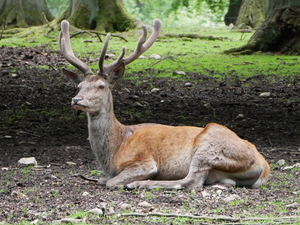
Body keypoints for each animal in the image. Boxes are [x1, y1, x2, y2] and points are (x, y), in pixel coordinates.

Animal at [58, 19, 270, 189]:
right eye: (79, 86)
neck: (114, 151)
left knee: (192, 181)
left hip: (209, 146)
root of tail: (264, 165)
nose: (76, 100)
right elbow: (103, 179)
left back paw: (139, 184)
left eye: (101, 86)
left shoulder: (144, 160)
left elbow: (110, 181)